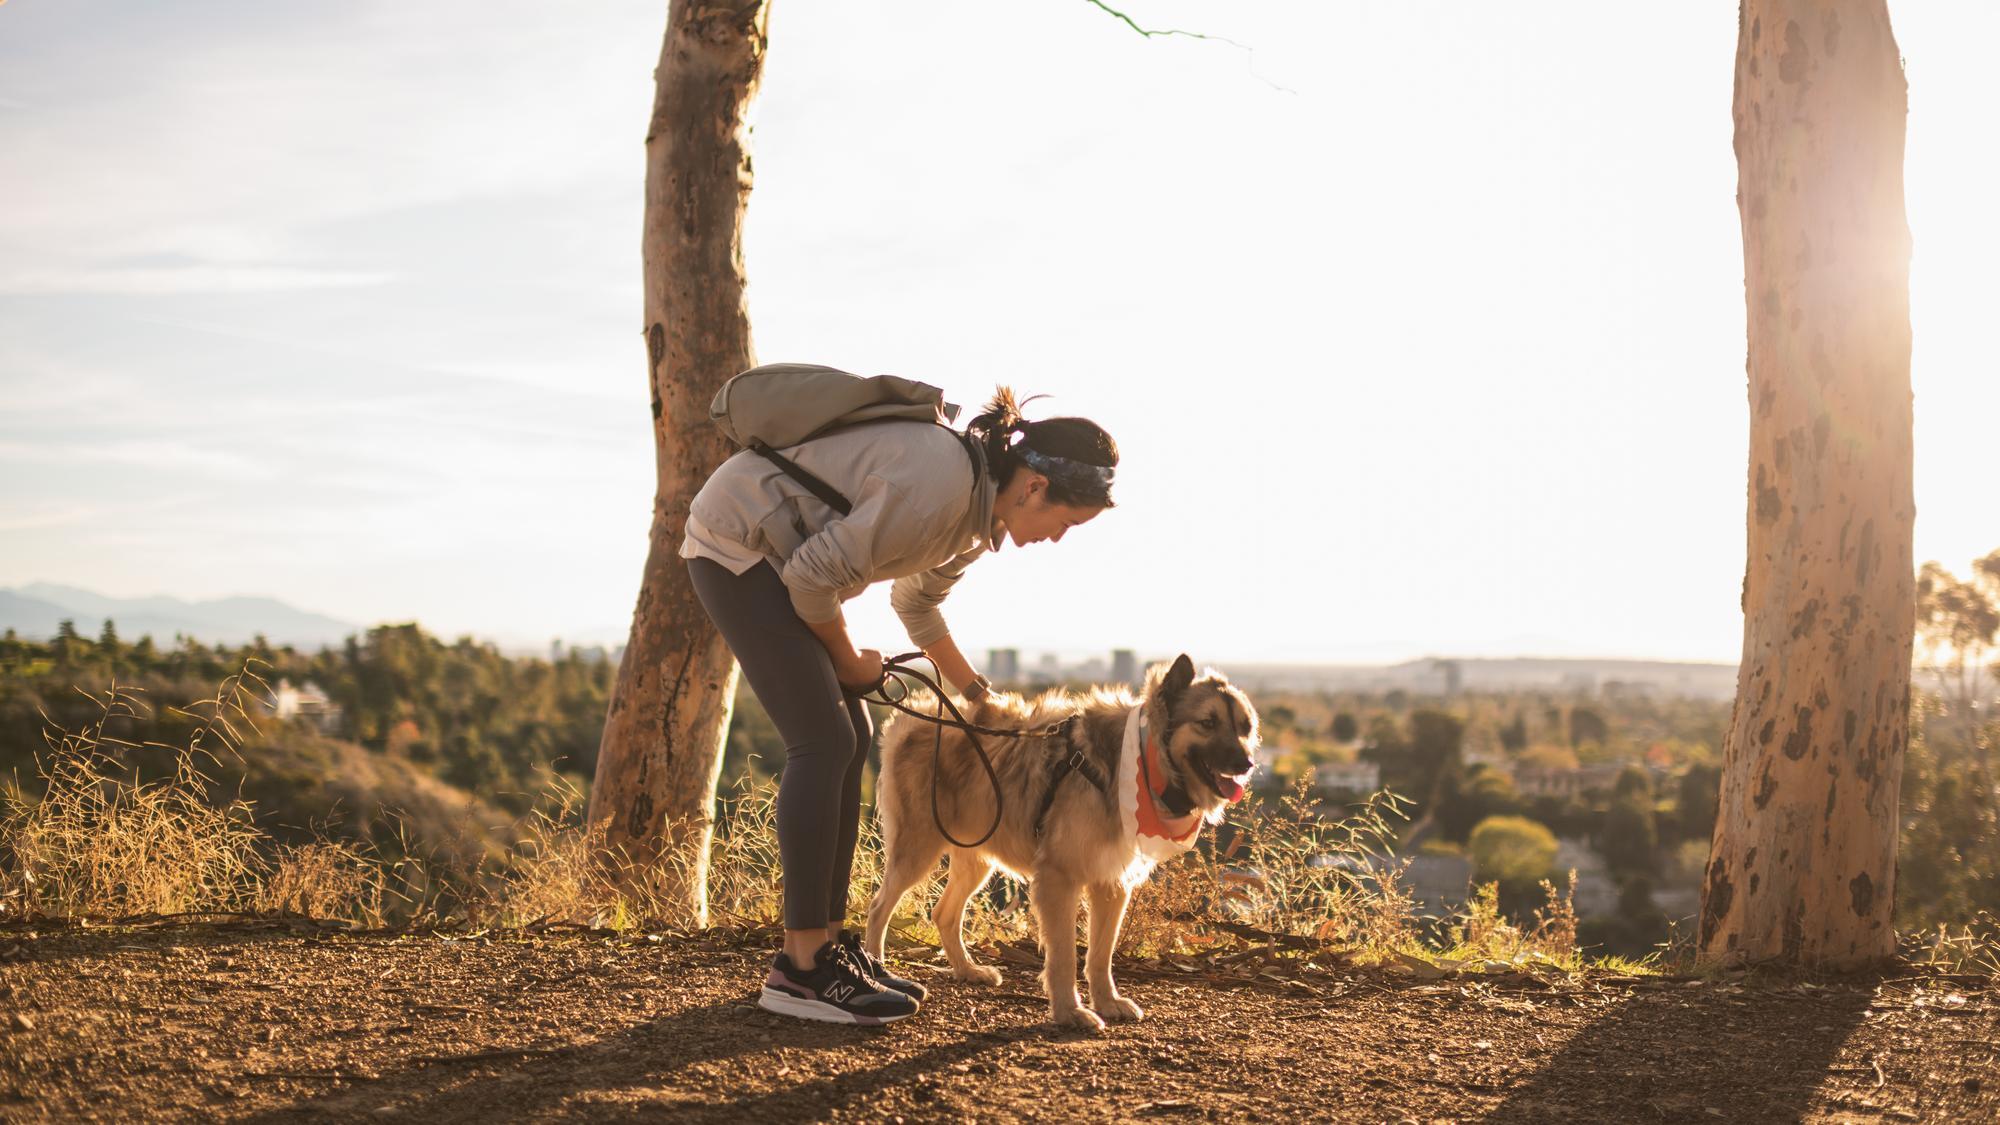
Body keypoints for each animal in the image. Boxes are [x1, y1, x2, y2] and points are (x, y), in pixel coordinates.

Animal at [864, 652, 1264, 1032]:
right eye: (1207, 723)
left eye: (1245, 728)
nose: (1247, 764)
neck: (1133, 759)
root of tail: (912, 720)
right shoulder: (1059, 879)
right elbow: (1065, 956)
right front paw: (1069, 1011)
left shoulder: (1111, 883)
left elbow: (1100, 954)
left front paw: (1107, 1002)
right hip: (916, 849)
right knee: (878, 907)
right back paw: (877, 970)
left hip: (975, 858)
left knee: (944, 913)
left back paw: (967, 969)